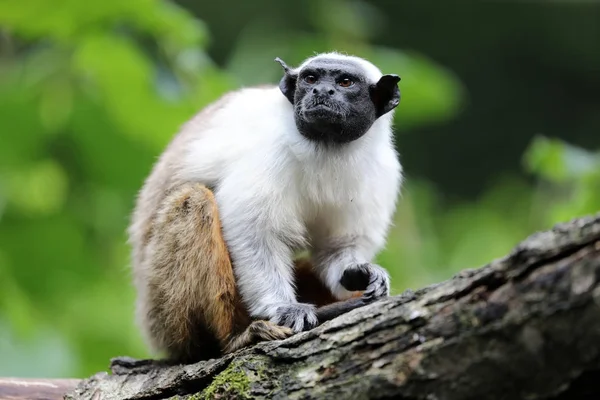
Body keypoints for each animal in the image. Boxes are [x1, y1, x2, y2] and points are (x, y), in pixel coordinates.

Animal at [129, 51, 406, 364]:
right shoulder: (269, 154)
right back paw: (235, 338)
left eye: (345, 82)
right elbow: (254, 233)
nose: (321, 92)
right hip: (162, 316)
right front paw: (284, 308)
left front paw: (359, 272)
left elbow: (336, 248)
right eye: (311, 79)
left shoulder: (383, 171)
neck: (326, 147)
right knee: (194, 201)